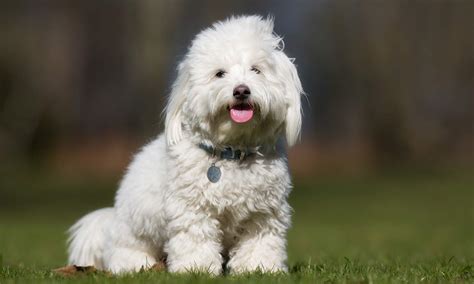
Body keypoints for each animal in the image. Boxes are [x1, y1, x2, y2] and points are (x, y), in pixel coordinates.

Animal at [67, 15, 304, 276]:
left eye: (256, 69)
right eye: (220, 74)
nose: (241, 90)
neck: (233, 152)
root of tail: (109, 223)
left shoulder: (263, 212)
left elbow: (260, 242)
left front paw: (259, 268)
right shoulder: (192, 208)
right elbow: (195, 239)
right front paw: (197, 268)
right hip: (132, 235)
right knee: (124, 254)